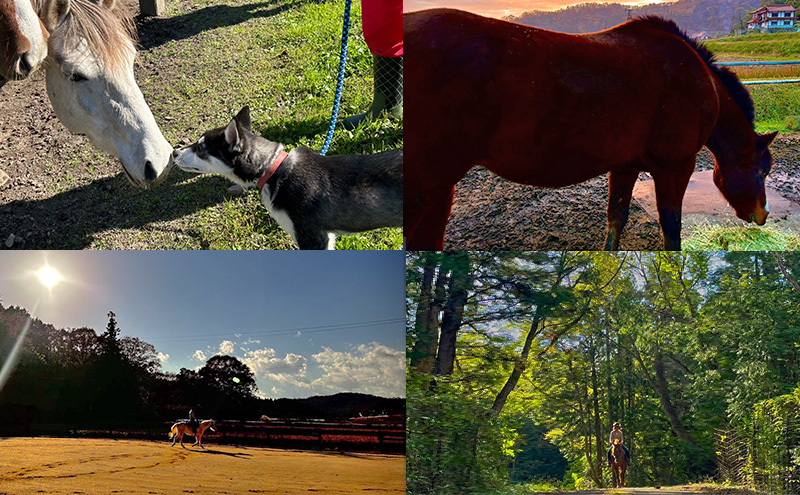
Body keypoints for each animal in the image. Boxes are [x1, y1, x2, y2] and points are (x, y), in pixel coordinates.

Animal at [406, 8, 776, 252]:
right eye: (762, 171)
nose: (763, 214)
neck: (699, 83)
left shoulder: (626, 166)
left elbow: (616, 219)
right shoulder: (675, 167)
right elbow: (671, 230)